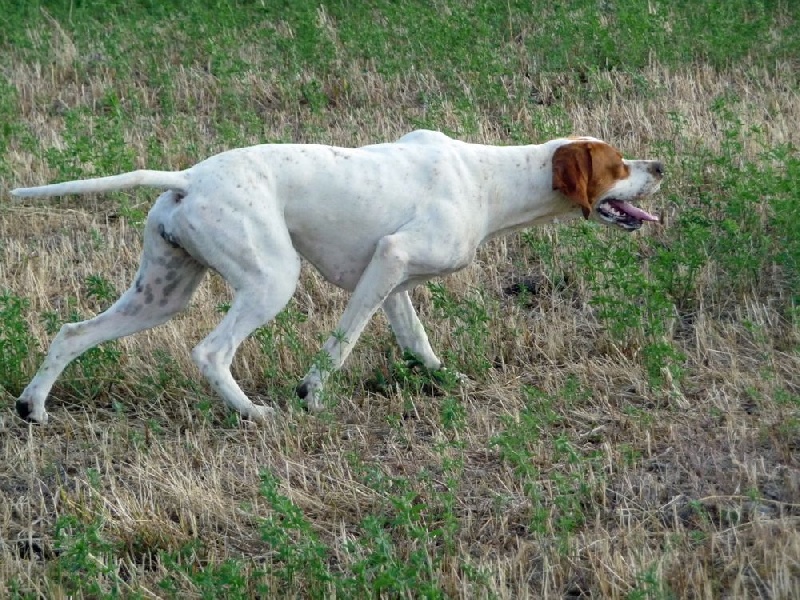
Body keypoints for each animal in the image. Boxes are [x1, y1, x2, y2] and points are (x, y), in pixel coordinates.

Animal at [10, 131, 664, 422]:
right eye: (618, 166)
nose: (659, 165)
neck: (490, 180)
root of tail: (189, 178)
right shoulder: (391, 259)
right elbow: (341, 344)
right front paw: (311, 394)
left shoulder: (392, 280)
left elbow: (416, 342)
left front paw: (446, 380)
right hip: (271, 280)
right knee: (210, 351)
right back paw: (254, 413)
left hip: (160, 295)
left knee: (71, 333)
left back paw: (33, 407)